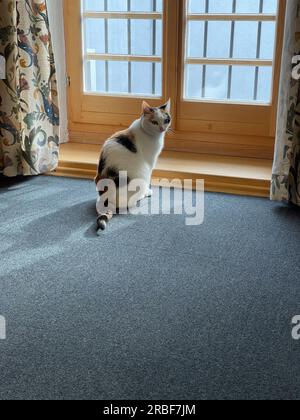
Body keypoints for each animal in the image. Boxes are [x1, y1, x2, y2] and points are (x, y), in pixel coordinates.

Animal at [95, 99, 171, 231]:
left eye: (166, 120)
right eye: (154, 122)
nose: (162, 128)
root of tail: (107, 198)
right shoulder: (150, 163)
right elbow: (149, 178)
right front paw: (148, 191)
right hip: (141, 175)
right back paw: (141, 196)